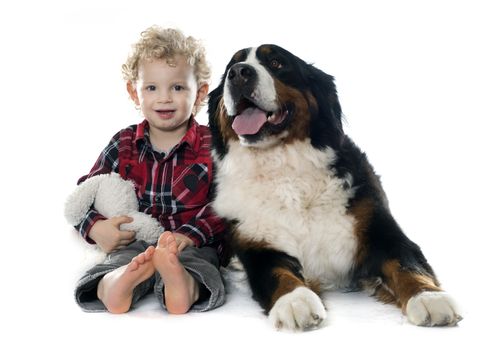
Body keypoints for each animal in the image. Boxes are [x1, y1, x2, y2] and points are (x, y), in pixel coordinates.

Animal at [206, 43, 462, 330]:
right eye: (231, 66)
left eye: (277, 63)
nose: (239, 73)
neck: (285, 171)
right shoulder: (258, 246)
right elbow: (278, 274)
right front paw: (296, 301)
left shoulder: (380, 229)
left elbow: (405, 263)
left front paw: (428, 297)